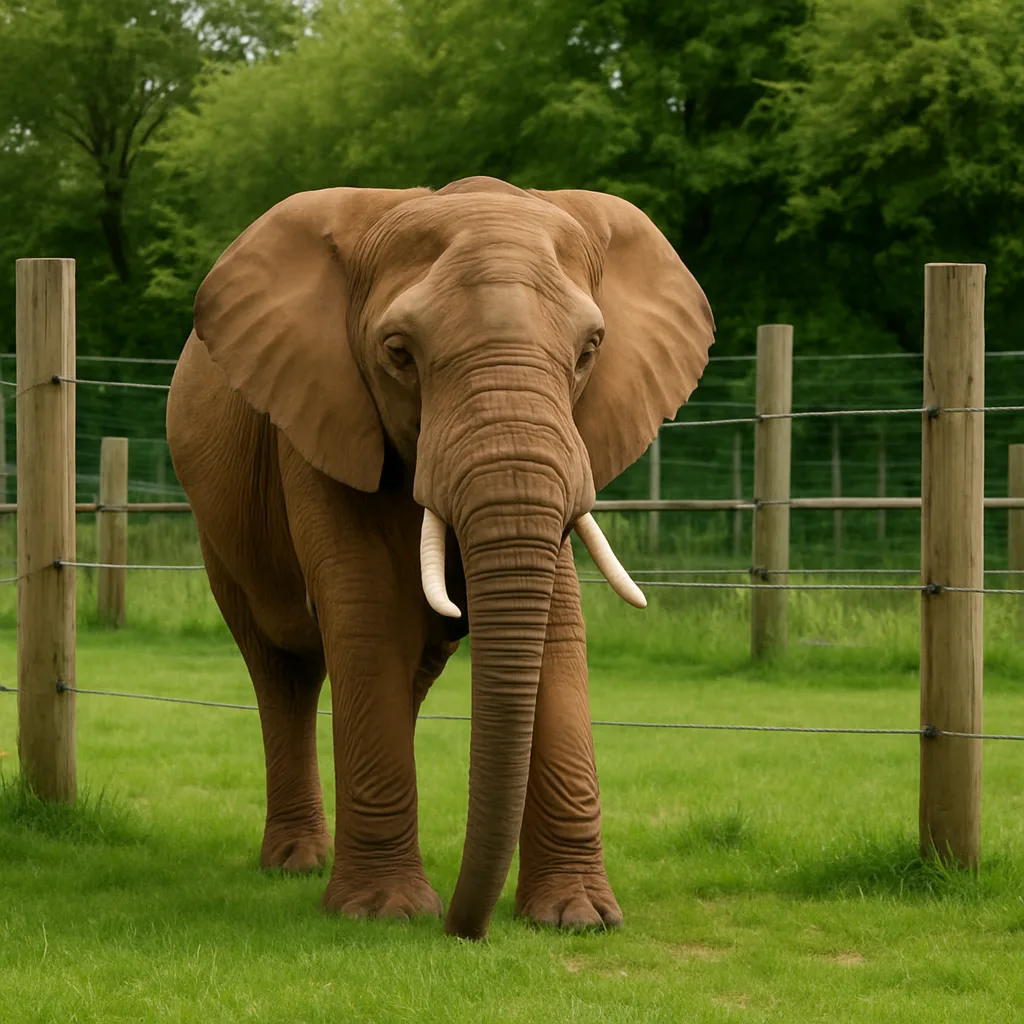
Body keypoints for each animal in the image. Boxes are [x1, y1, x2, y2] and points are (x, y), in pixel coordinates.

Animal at [165, 174, 714, 940]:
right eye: (398, 352)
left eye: (590, 350)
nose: (464, 930)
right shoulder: (321, 419)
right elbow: (365, 610)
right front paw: (384, 914)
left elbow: (557, 625)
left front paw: (578, 918)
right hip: (221, 535)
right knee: (282, 670)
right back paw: (297, 864)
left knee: (405, 667)